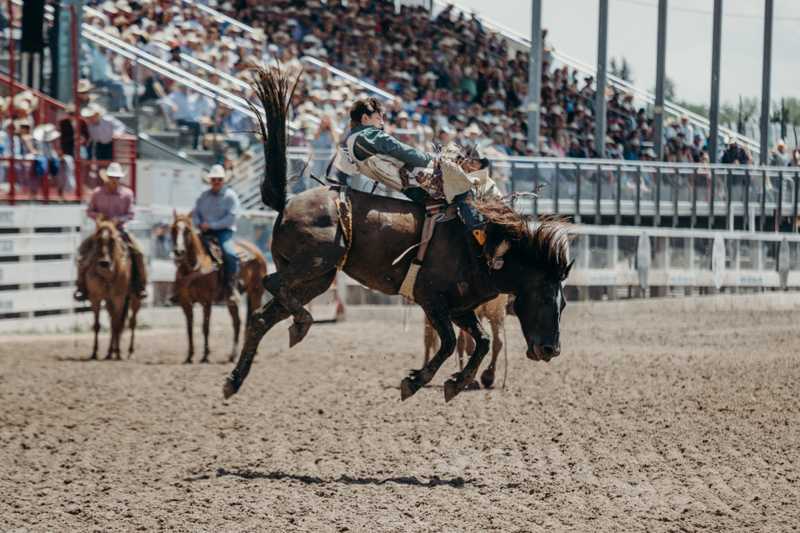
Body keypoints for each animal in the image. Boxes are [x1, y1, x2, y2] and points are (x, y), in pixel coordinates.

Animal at [84, 218, 142, 360]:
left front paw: (119, 352)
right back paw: (110, 352)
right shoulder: (95, 298)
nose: (104, 263)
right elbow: (97, 325)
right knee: (113, 323)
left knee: (131, 322)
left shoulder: (119, 298)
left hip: (135, 299)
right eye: (97, 240)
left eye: (113, 240)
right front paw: (95, 352)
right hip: (109, 301)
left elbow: (117, 324)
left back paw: (128, 352)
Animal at [169, 212, 268, 362]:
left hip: (256, 292)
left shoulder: (206, 301)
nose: (179, 251)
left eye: (187, 230)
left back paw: (245, 353)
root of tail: (257, 252)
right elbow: (189, 328)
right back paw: (235, 354)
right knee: (237, 322)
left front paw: (205, 355)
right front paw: (190, 356)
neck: (194, 268)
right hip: (231, 301)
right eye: (173, 229)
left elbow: (205, 327)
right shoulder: (185, 302)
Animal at [222, 65, 572, 400]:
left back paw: (236, 378)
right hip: (314, 264)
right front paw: (415, 381)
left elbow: (481, 341)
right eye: (544, 296)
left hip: (316, 278)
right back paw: (302, 323)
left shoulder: (460, 309)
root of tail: (286, 202)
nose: (551, 350)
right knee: (271, 283)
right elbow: (448, 343)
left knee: (262, 316)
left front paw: (456, 383)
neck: (482, 249)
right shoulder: (431, 299)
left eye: (564, 304)